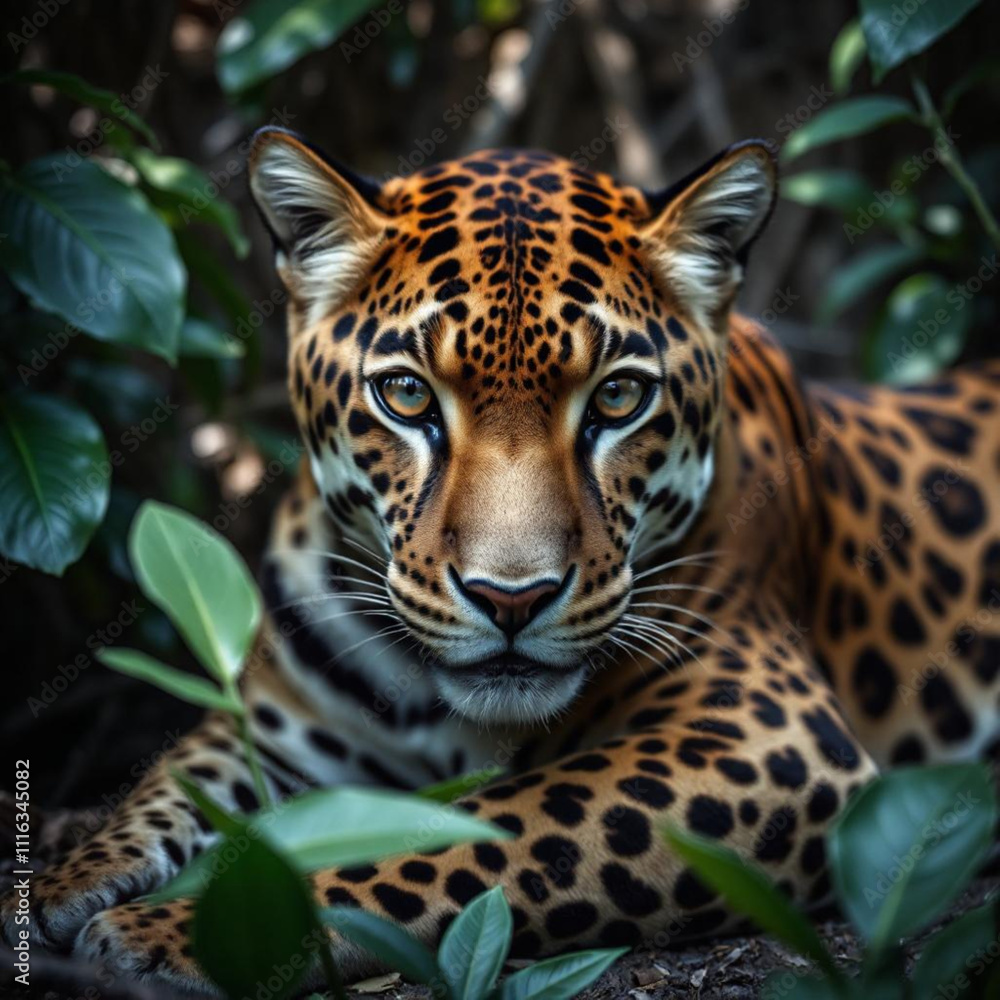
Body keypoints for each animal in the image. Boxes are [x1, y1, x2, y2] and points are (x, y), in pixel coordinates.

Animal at [5, 127, 1000, 994]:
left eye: (620, 397)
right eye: (406, 395)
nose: (511, 598)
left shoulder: (770, 736)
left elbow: (470, 829)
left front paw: (188, 928)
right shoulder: (277, 723)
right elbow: (165, 787)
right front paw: (57, 885)